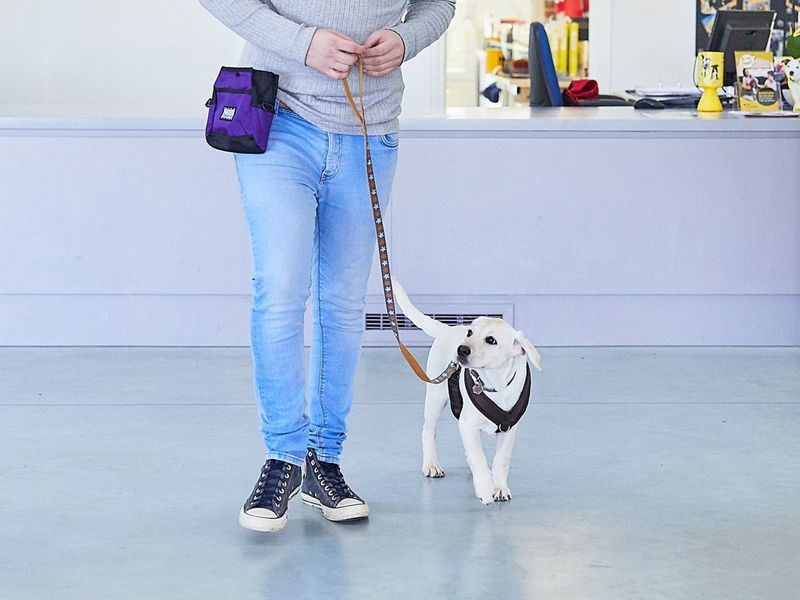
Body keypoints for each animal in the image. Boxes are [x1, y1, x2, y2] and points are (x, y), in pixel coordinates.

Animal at [390, 278, 540, 504]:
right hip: (435, 397)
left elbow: (501, 460)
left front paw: (500, 487)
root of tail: (447, 329)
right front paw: (486, 488)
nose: (461, 349)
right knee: (428, 431)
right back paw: (431, 464)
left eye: (491, 340)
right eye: (470, 333)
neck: (493, 384)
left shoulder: (509, 428)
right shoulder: (468, 425)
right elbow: (479, 458)